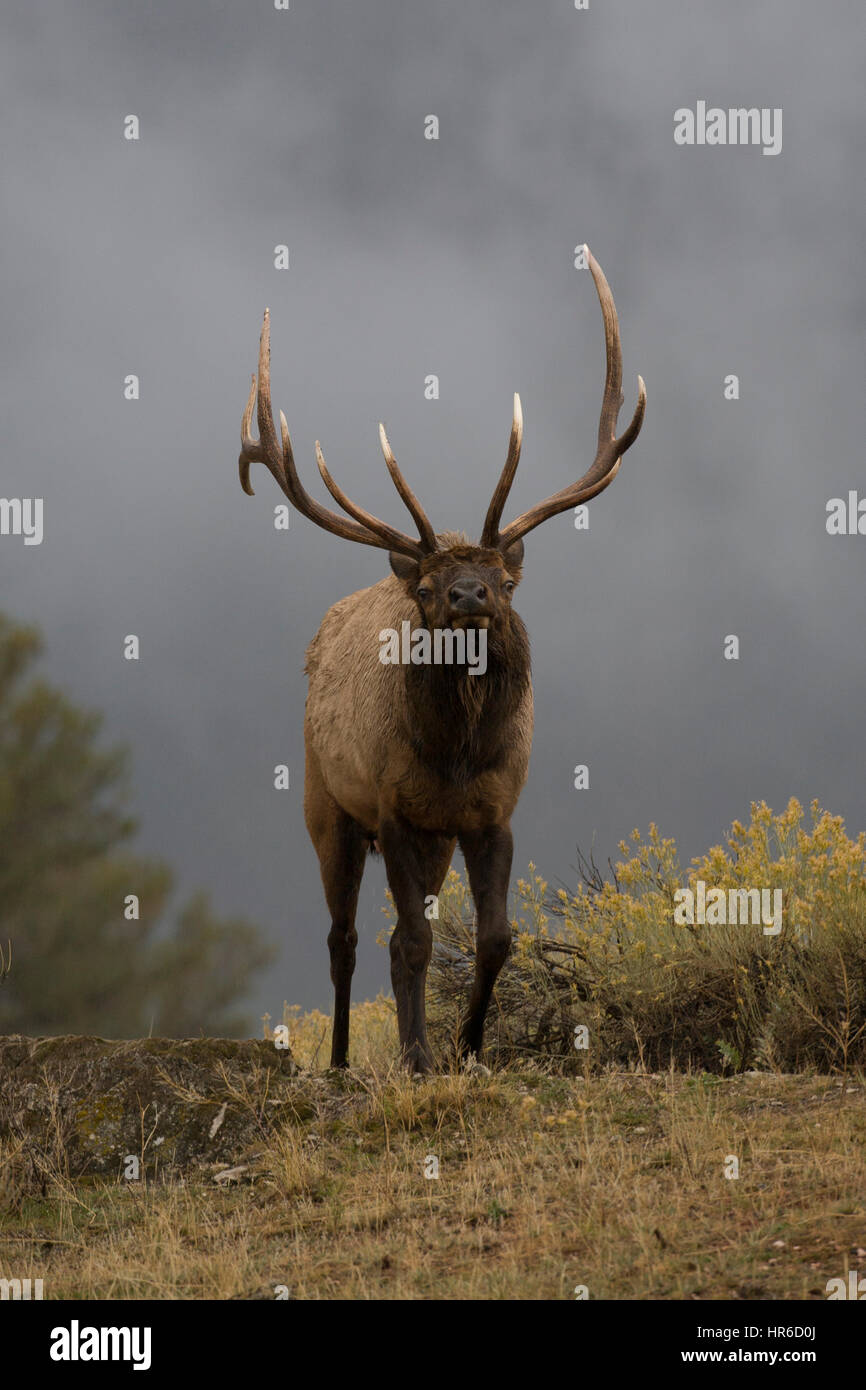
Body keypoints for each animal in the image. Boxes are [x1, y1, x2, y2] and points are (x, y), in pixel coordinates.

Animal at [238, 247, 645, 1073]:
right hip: (327, 806)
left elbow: (494, 940)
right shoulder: (393, 809)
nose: (466, 594)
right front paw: (419, 1055)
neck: (456, 755)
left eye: (503, 579)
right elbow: (414, 942)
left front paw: (470, 1048)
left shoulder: (492, 814)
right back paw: (338, 1058)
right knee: (345, 939)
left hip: (427, 835)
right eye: (427, 588)